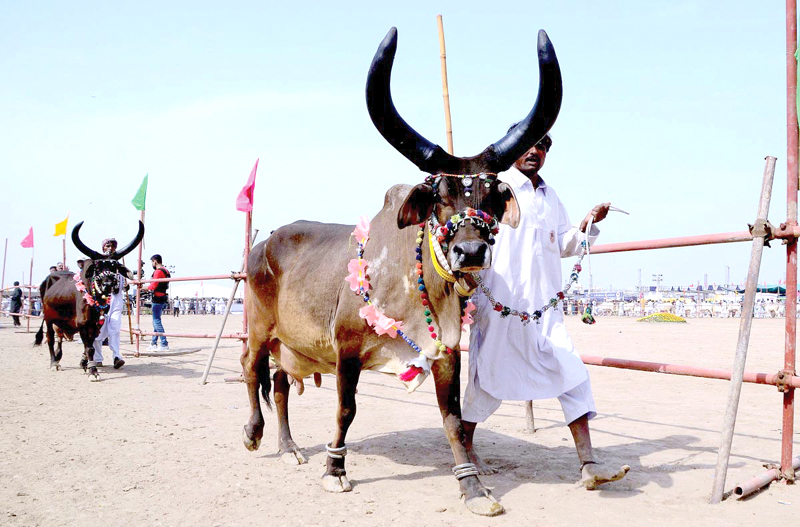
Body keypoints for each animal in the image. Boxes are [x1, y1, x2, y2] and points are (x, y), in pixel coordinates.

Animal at [34, 222, 144, 380]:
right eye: (97, 267)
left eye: (114, 266)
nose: (108, 284)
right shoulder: (83, 324)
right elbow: (90, 348)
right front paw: (93, 371)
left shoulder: (96, 326)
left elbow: (90, 346)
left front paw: (85, 363)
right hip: (48, 318)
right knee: (50, 339)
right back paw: (54, 362)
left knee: (59, 337)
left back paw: (59, 356)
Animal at [241, 26, 560, 516]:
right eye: (440, 195)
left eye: (490, 195)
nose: (470, 251)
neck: (414, 289)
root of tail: (264, 243)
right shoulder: (347, 349)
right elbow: (346, 410)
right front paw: (335, 470)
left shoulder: (446, 352)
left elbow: (454, 419)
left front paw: (472, 487)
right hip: (260, 327)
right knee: (252, 369)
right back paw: (255, 435)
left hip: (294, 344)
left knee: (278, 384)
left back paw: (289, 446)